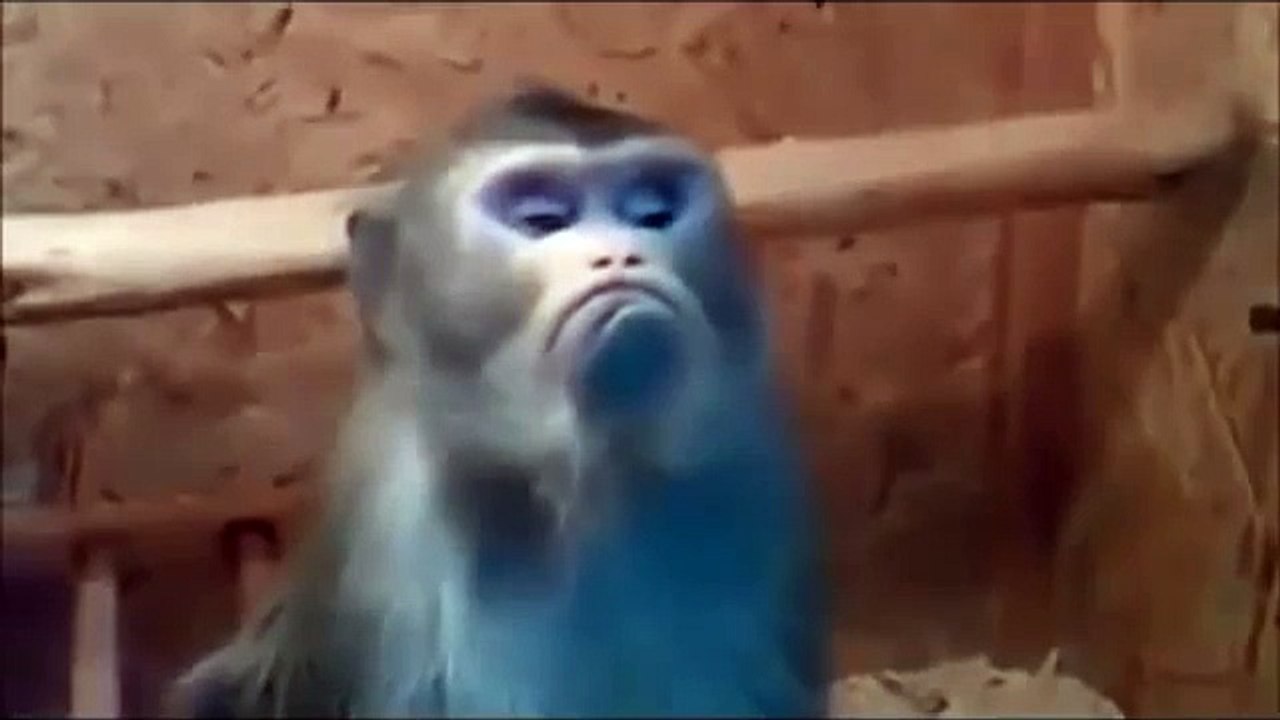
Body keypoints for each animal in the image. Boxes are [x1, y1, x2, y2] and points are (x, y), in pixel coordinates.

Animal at [168, 85, 830, 718]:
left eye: (653, 212)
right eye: (541, 220)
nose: (622, 253)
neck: (592, 490)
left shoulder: (752, 480)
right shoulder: (391, 529)